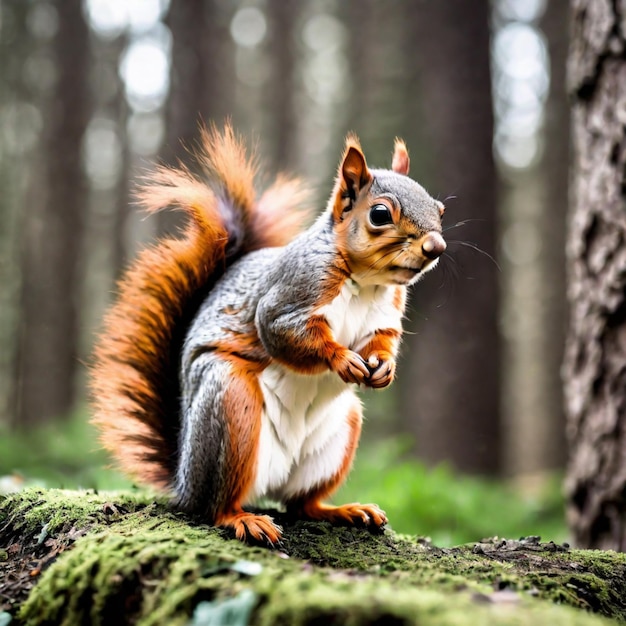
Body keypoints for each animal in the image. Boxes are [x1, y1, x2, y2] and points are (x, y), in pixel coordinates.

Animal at [90, 124, 446, 544]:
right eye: (379, 214)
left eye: (440, 208)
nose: (436, 246)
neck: (367, 283)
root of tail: (182, 479)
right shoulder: (289, 297)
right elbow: (285, 333)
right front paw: (342, 359)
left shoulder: (384, 317)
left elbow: (383, 340)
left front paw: (384, 368)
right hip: (229, 407)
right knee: (213, 506)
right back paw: (242, 518)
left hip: (339, 434)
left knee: (301, 504)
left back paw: (343, 510)